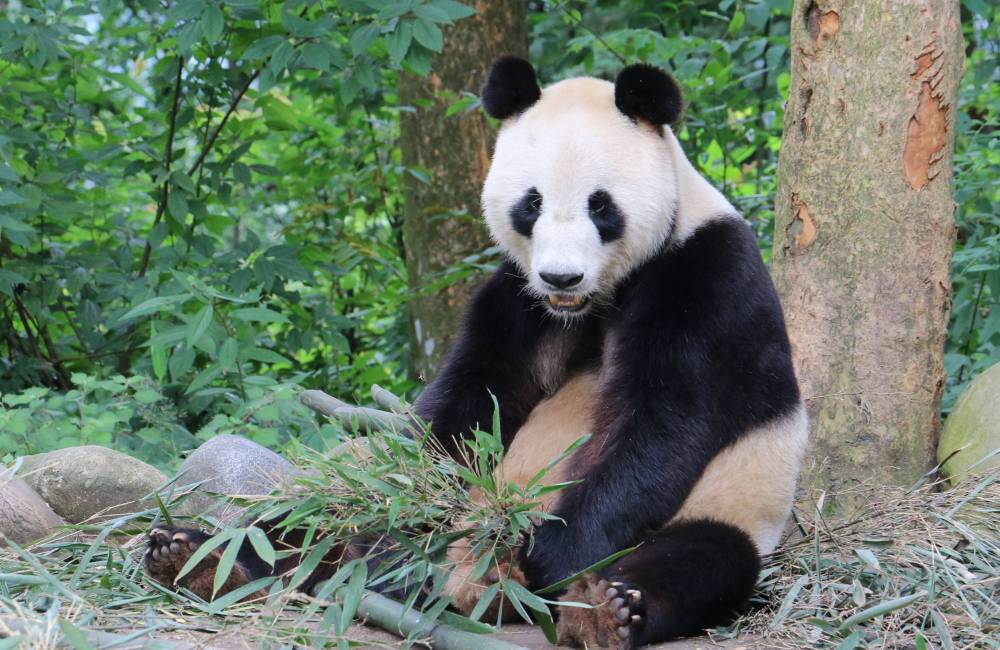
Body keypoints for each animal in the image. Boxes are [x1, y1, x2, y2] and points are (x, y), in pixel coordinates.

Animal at [144, 57, 807, 649]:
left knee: (697, 560)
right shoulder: (516, 298)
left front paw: (546, 555)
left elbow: (663, 422)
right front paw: (407, 522)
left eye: (601, 205)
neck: (591, 303)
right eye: (532, 203)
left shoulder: (703, 276)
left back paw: (599, 609)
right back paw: (201, 557)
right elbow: (466, 409)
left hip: (730, 502)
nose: (561, 276)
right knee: (312, 518)